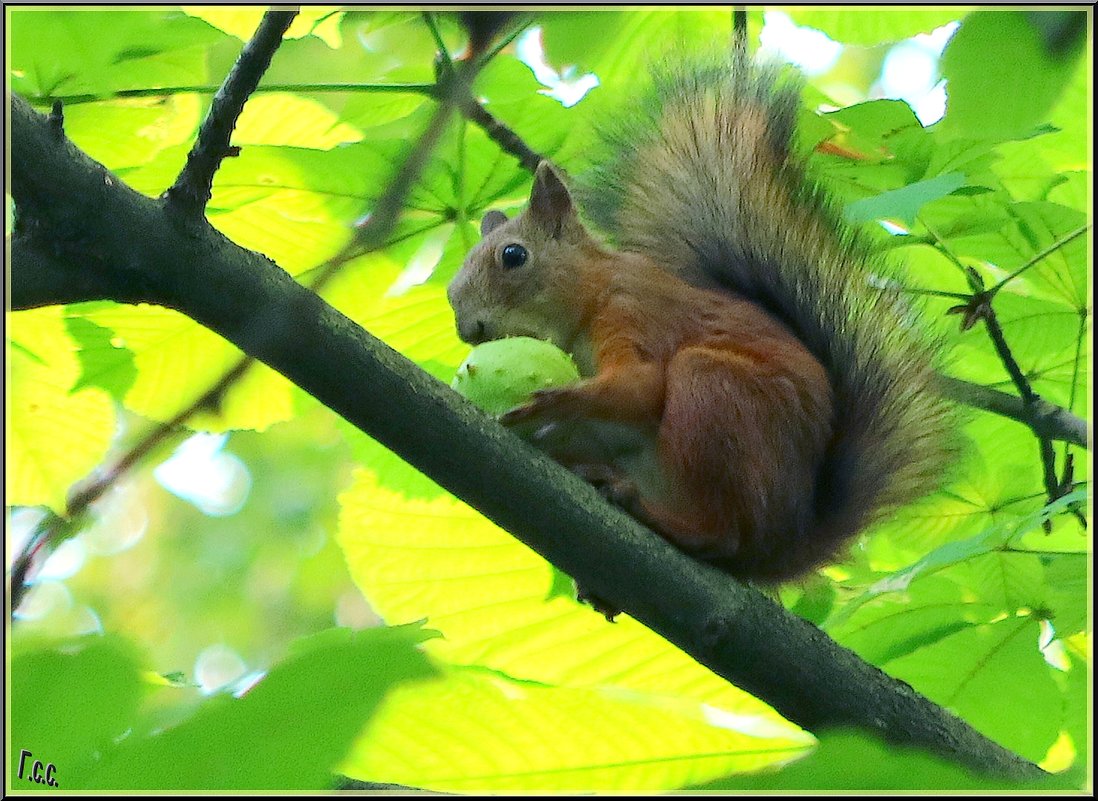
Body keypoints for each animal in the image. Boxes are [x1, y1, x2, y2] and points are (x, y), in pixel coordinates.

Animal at [445, 52, 953, 583]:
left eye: (513, 256)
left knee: (723, 533)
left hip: (716, 393)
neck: (594, 292)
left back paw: (664, 519)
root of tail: (781, 545)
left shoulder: (635, 314)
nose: (468, 330)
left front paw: (557, 399)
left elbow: (641, 385)